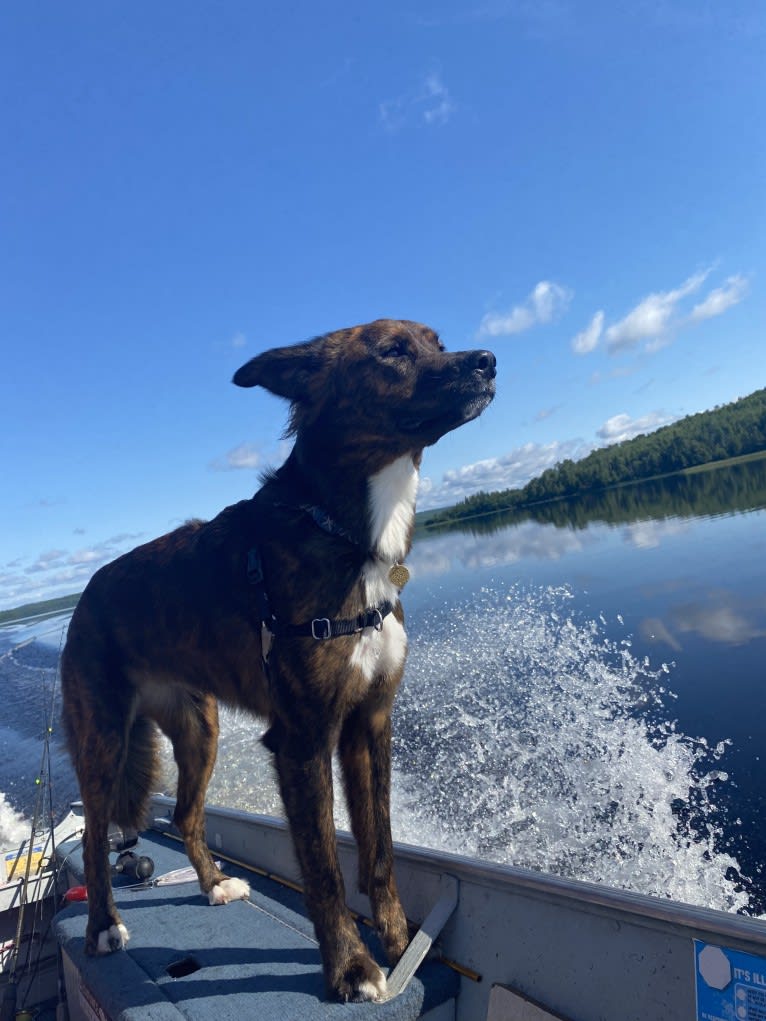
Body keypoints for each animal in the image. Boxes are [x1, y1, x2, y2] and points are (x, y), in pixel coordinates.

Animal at [58, 320, 492, 1004]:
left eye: (437, 342)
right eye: (393, 352)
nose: (488, 362)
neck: (345, 532)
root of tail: (87, 593)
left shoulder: (370, 723)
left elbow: (381, 853)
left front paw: (400, 946)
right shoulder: (303, 738)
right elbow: (323, 868)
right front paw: (350, 968)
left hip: (200, 730)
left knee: (186, 814)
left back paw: (214, 885)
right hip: (102, 737)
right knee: (99, 834)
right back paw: (104, 926)